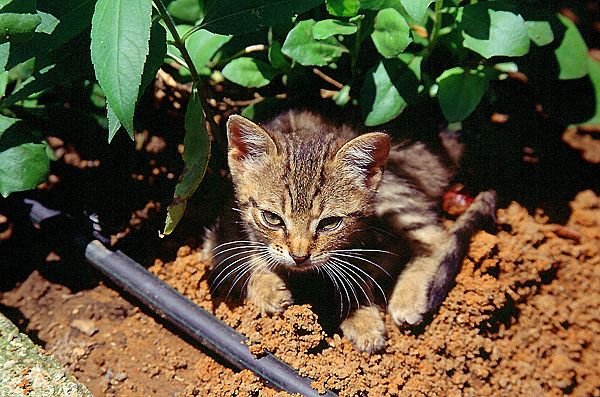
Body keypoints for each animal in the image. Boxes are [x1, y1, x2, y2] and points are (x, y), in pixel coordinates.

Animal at [207, 110, 496, 352]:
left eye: (329, 223)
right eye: (272, 218)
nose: (299, 257)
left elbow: (358, 273)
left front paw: (361, 319)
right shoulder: (218, 231)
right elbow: (238, 256)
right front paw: (267, 286)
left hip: (393, 192)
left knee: (436, 236)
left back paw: (408, 297)